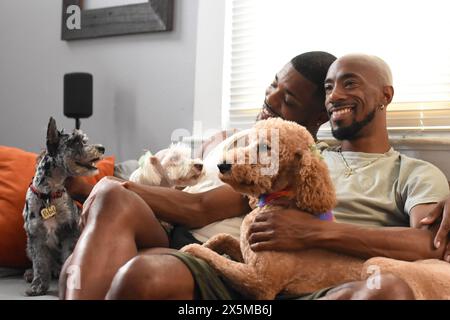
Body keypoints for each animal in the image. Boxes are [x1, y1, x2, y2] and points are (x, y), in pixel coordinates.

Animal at [22, 117, 104, 296]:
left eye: (84, 139)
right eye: (75, 141)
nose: (102, 148)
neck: (49, 195)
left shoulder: (69, 232)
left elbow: (69, 258)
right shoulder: (35, 236)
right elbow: (40, 263)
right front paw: (38, 285)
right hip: (27, 247)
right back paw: (30, 274)